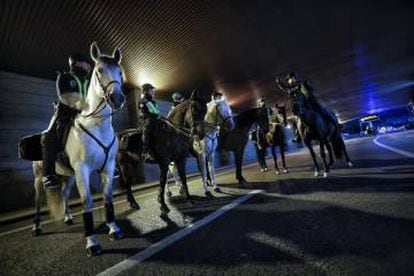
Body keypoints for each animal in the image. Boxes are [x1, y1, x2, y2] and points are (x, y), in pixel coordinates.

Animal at [32, 42, 124, 258]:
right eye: (99, 71)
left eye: (120, 72)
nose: (117, 98)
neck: (97, 125)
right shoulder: (83, 170)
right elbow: (87, 202)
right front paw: (92, 243)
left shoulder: (107, 168)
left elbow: (108, 199)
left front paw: (113, 229)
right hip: (39, 178)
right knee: (38, 201)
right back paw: (37, 226)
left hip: (68, 177)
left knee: (64, 195)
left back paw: (67, 217)